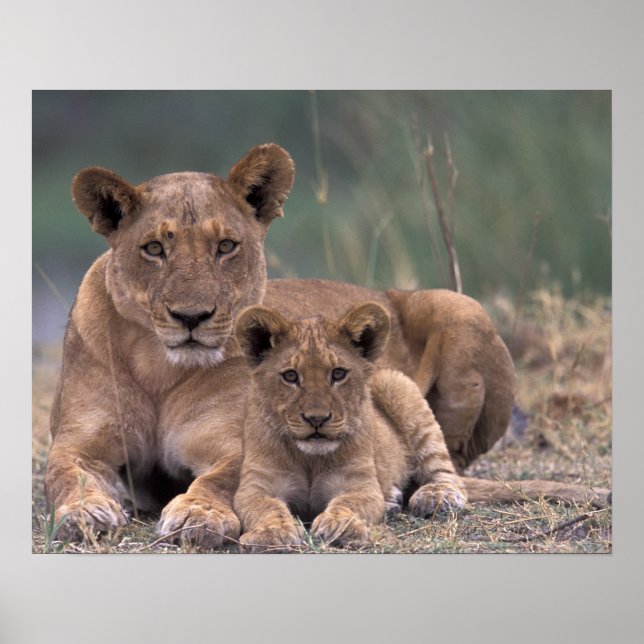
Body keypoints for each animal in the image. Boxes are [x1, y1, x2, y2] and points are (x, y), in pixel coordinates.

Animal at [233, 303, 467, 551]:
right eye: (290, 376)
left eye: (338, 373)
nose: (317, 419)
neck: (309, 460)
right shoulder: (255, 485)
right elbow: (265, 507)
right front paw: (272, 532)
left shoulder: (359, 483)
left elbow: (348, 503)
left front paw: (340, 526)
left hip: (395, 383)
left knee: (448, 473)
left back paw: (437, 496)